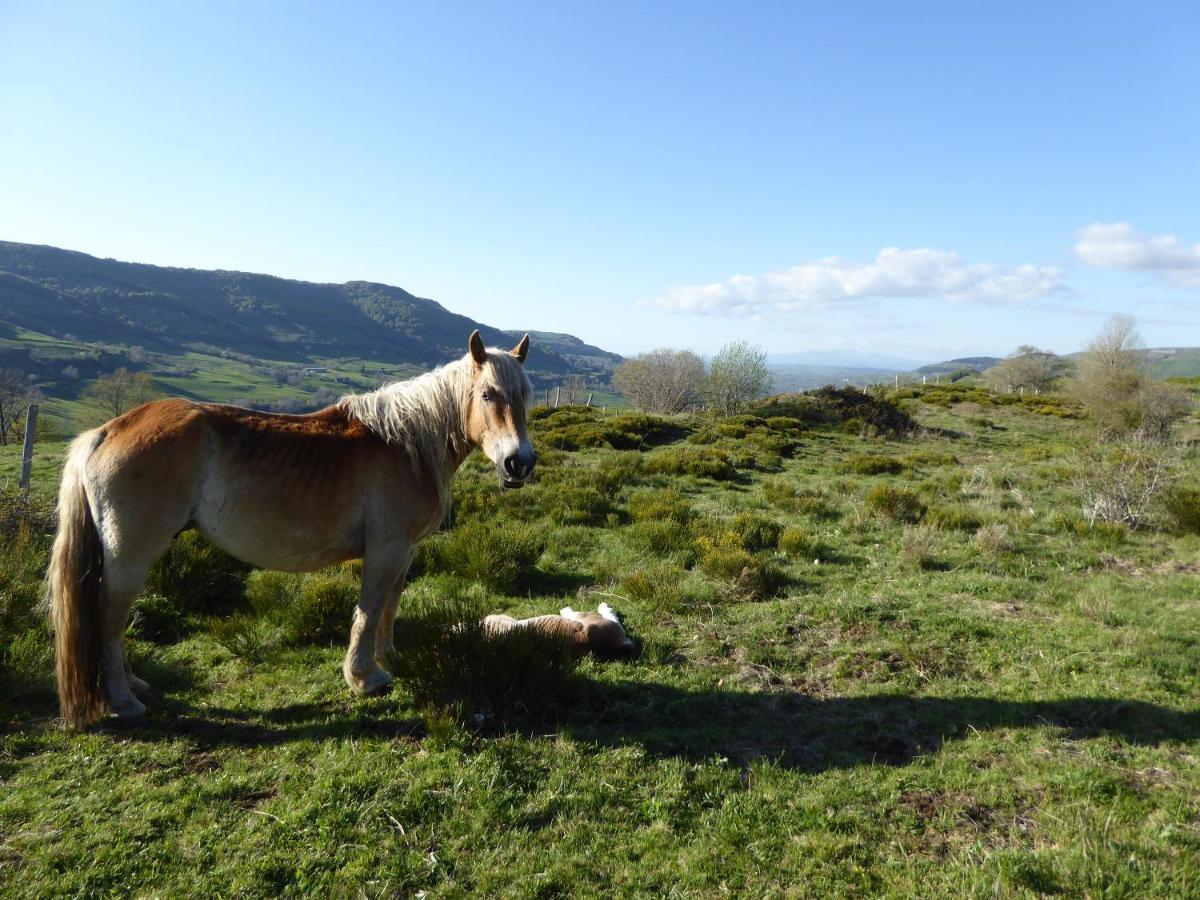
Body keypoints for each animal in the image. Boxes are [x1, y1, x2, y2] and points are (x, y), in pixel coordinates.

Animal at [44, 336, 537, 729]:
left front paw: (390, 660)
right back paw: (124, 701)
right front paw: (365, 678)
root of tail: (105, 431)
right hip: (130, 555)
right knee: (109, 619)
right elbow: (370, 609)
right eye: (488, 394)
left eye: (525, 396)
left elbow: (390, 606)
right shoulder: (385, 550)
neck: (406, 445)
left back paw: (135, 685)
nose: (520, 463)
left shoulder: (405, 552)